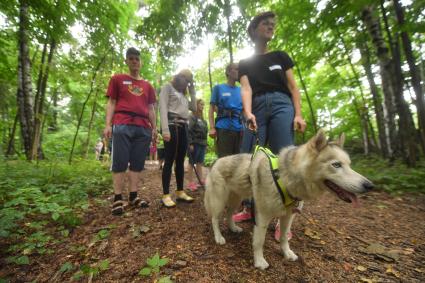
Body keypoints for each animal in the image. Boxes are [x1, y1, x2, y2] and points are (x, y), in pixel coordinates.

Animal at [204, 131, 372, 270]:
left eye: (349, 165)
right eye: (336, 165)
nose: (369, 185)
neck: (285, 178)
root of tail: (216, 161)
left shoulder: (288, 216)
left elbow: (284, 237)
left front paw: (287, 253)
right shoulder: (262, 217)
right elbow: (259, 241)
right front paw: (259, 261)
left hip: (236, 199)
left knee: (229, 214)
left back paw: (233, 228)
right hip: (219, 200)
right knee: (214, 219)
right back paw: (218, 237)